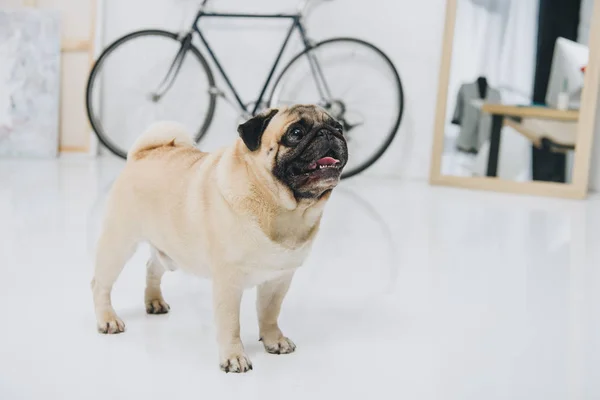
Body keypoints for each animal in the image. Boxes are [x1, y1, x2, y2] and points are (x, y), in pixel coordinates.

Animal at [91, 104, 350, 372]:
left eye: (339, 127)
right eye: (296, 133)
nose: (329, 133)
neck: (280, 209)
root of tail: (142, 154)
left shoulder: (279, 280)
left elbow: (269, 314)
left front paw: (274, 340)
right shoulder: (229, 282)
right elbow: (230, 324)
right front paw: (234, 357)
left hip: (170, 251)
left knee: (152, 266)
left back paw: (154, 301)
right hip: (119, 243)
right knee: (100, 284)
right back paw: (108, 320)